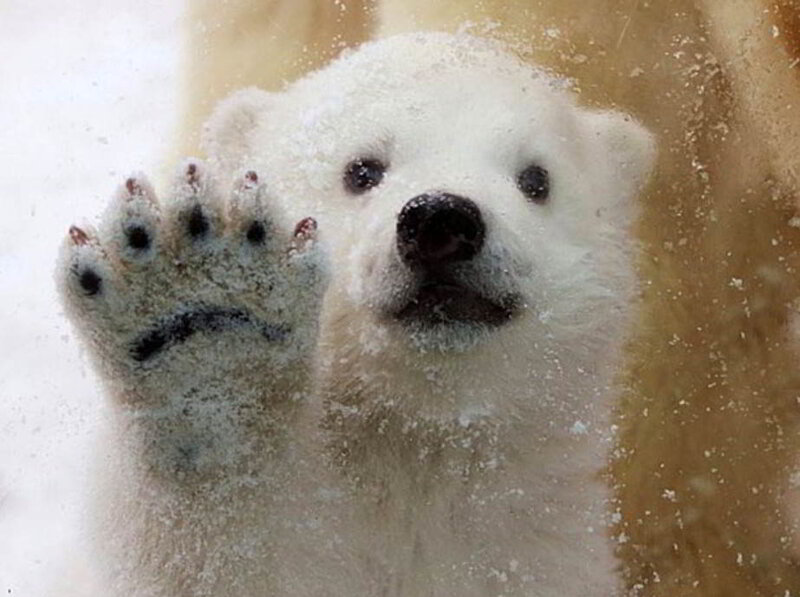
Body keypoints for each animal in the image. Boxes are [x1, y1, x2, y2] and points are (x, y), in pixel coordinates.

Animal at [58, 33, 654, 596]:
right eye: (362, 169)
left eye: (536, 180)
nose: (440, 221)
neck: (417, 443)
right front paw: (203, 326)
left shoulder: (538, 547)